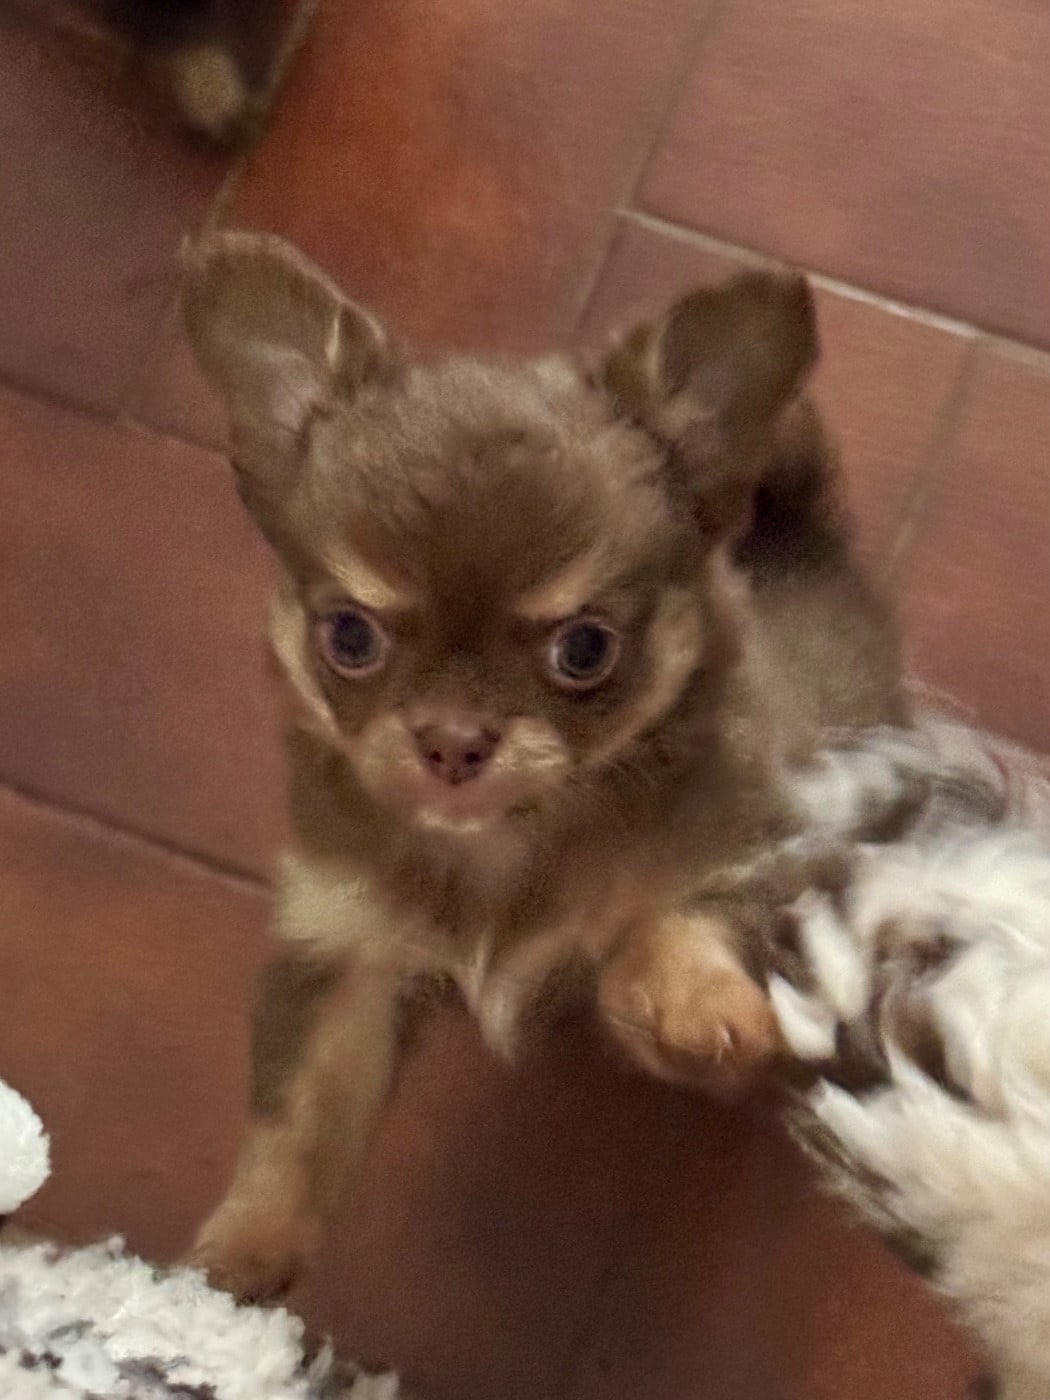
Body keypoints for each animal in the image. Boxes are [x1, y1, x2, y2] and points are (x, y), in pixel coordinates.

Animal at [180, 230, 906, 1301]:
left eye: (585, 649)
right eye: (349, 636)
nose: (451, 739)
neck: (506, 846)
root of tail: (803, 539)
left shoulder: (762, 855)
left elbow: (678, 924)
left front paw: (685, 999)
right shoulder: (343, 951)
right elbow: (298, 1115)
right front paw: (241, 1254)